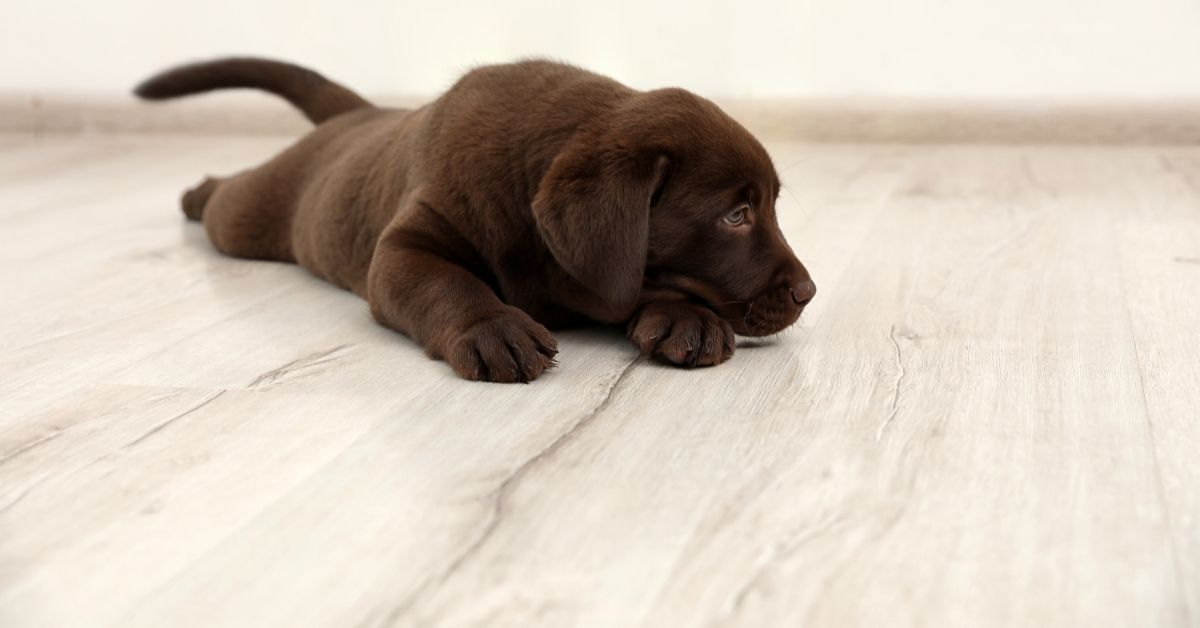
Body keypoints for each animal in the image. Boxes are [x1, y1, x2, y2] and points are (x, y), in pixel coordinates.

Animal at [138, 57, 816, 384]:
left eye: (767, 206)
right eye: (736, 215)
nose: (808, 292)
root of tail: (361, 113)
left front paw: (685, 317)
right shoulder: (407, 246)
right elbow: (447, 282)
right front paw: (494, 329)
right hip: (254, 215)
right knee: (229, 199)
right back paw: (196, 193)